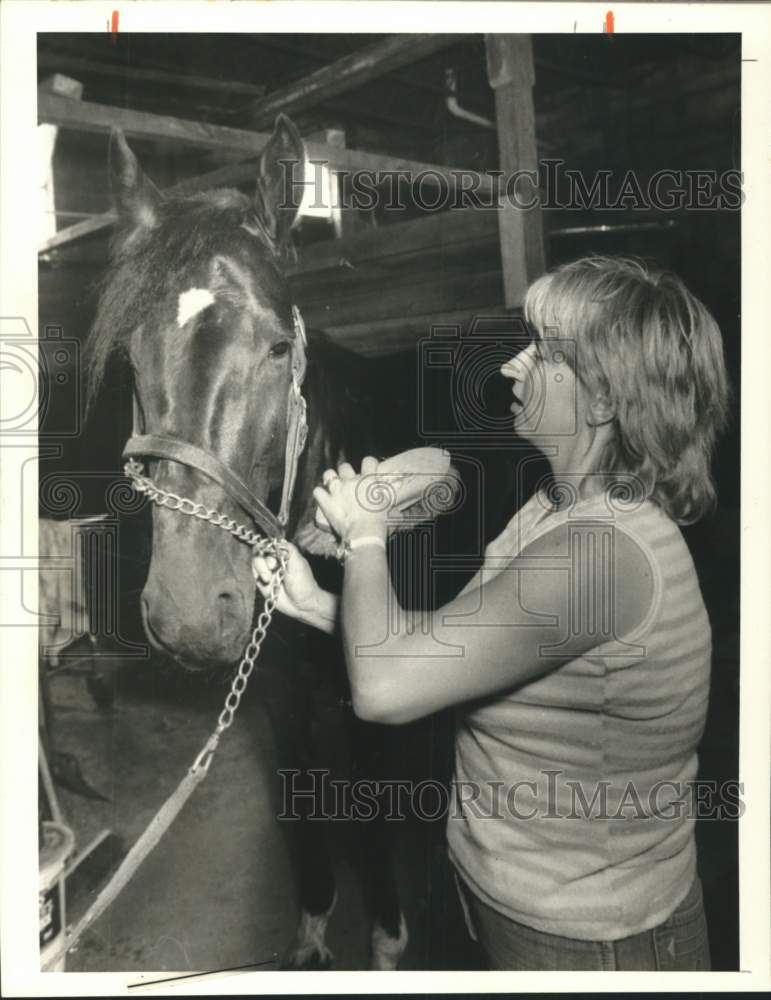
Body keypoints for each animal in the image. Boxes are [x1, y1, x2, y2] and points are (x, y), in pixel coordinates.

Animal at [86, 116, 412, 970]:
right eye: (130, 355)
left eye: (276, 348)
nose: (192, 616)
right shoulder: (280, 699)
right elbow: (303, 815)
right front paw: (311, 938)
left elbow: (374, 829)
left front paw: (387, 942)